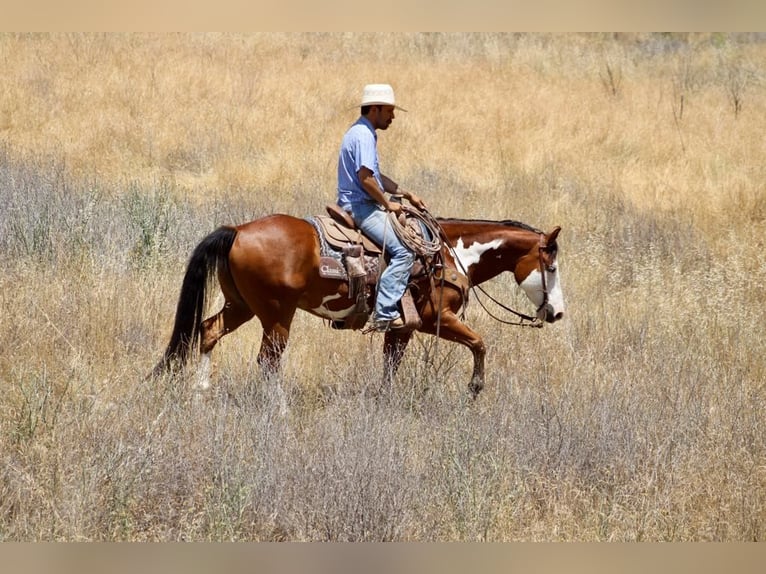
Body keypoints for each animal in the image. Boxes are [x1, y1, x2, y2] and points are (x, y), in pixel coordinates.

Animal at [151, 213, 565, 398]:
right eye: (552, 266)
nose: (557, 313)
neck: (449, 256)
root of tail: (237, 231)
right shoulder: (437, 317)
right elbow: (479, 343)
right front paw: (475, 387)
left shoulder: (402, 327)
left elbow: (390, 366)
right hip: (276, 313)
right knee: (268, 360)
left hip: (241, 306)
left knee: (208, 331)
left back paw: (201, 390)